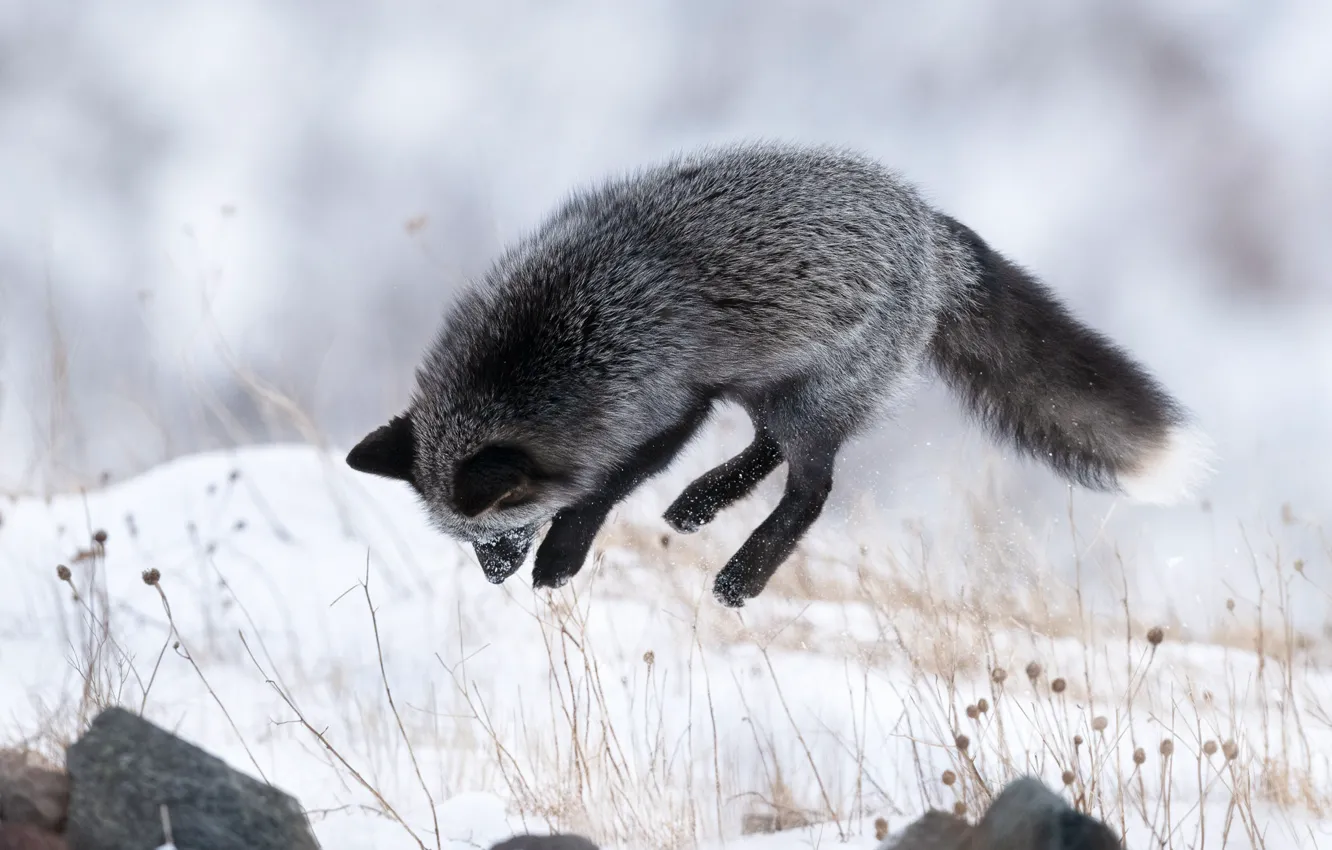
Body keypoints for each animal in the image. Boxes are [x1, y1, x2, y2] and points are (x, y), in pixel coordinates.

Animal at [346, 141, 1220, 607]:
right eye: (461, 540)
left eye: (498, 533)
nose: (494, 578)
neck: (564, 329)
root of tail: (931, 227)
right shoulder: (693, 395)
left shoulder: (668, 403)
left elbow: (602, 488)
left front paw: (561, 561)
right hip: (770, 385)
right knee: (768, 452)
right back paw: (698, 508)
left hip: (812, 400)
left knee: (810, 490)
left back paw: (741, 576)